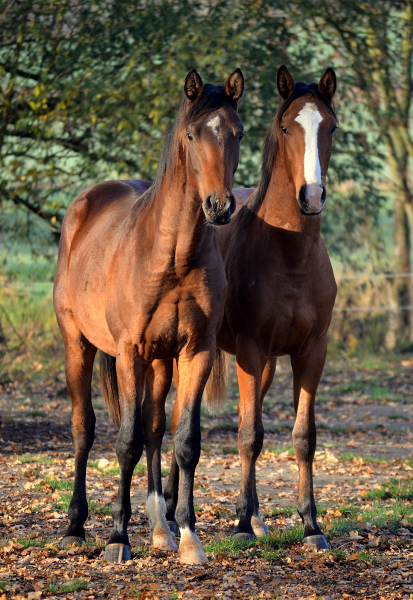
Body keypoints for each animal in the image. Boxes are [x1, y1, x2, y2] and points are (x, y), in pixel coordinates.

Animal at [52, 68, 243, 564]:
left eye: (237, 132)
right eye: (192, 134)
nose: (219, 206)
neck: (172, 255)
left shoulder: (196, 351)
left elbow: (185, 442)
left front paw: (189, 537)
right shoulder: (127, 352)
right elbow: (126, 442)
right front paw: (118, 537)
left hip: (160, 361)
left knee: (156, 429)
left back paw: (161, 528)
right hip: (78, 345)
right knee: (84, 429)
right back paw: (75, 527)